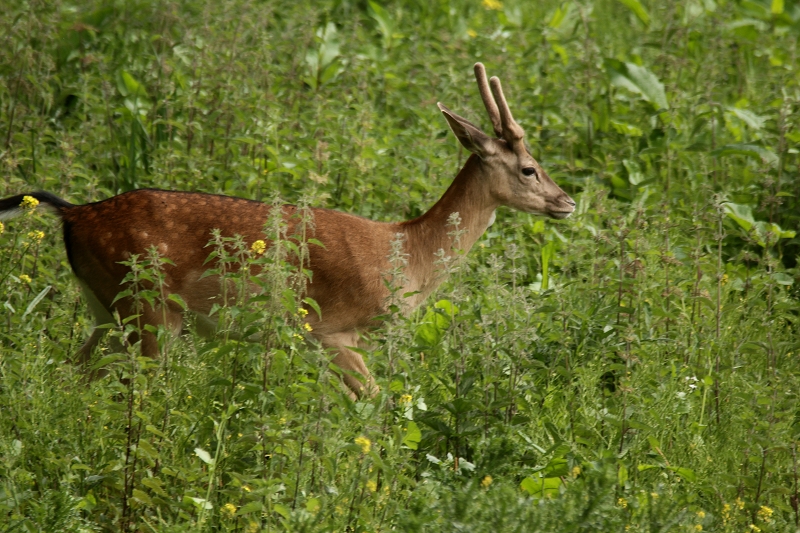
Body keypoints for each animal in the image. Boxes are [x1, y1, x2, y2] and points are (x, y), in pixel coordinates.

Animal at [0, 63, 576, 394]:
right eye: (530, 168)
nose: (568, 202)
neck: (407, 252)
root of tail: (74, 213)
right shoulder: (332, 330)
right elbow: (378, 407)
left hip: (106, 308)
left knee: (74, 374)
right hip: (150, 308)